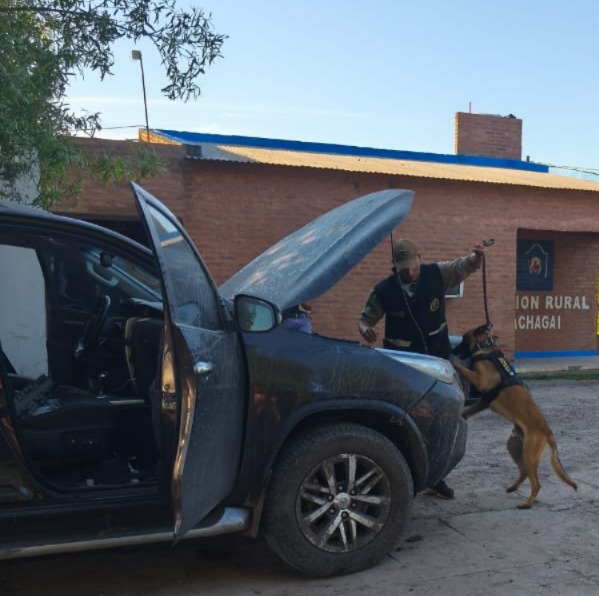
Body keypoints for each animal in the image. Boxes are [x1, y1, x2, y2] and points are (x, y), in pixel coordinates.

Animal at [452, 323, 577, 509]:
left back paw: (528, 503)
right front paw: (462, 416)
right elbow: (470, 409)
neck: (486, 348)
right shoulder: (484, 400)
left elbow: (461, 367)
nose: (452, 350)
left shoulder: (481, 381)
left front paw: (450, 362)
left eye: (463, 338)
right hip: (514, 446)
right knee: (524, 472)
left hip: (529, 454)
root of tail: (548, 431)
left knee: (536, 483)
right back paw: (513, 487)